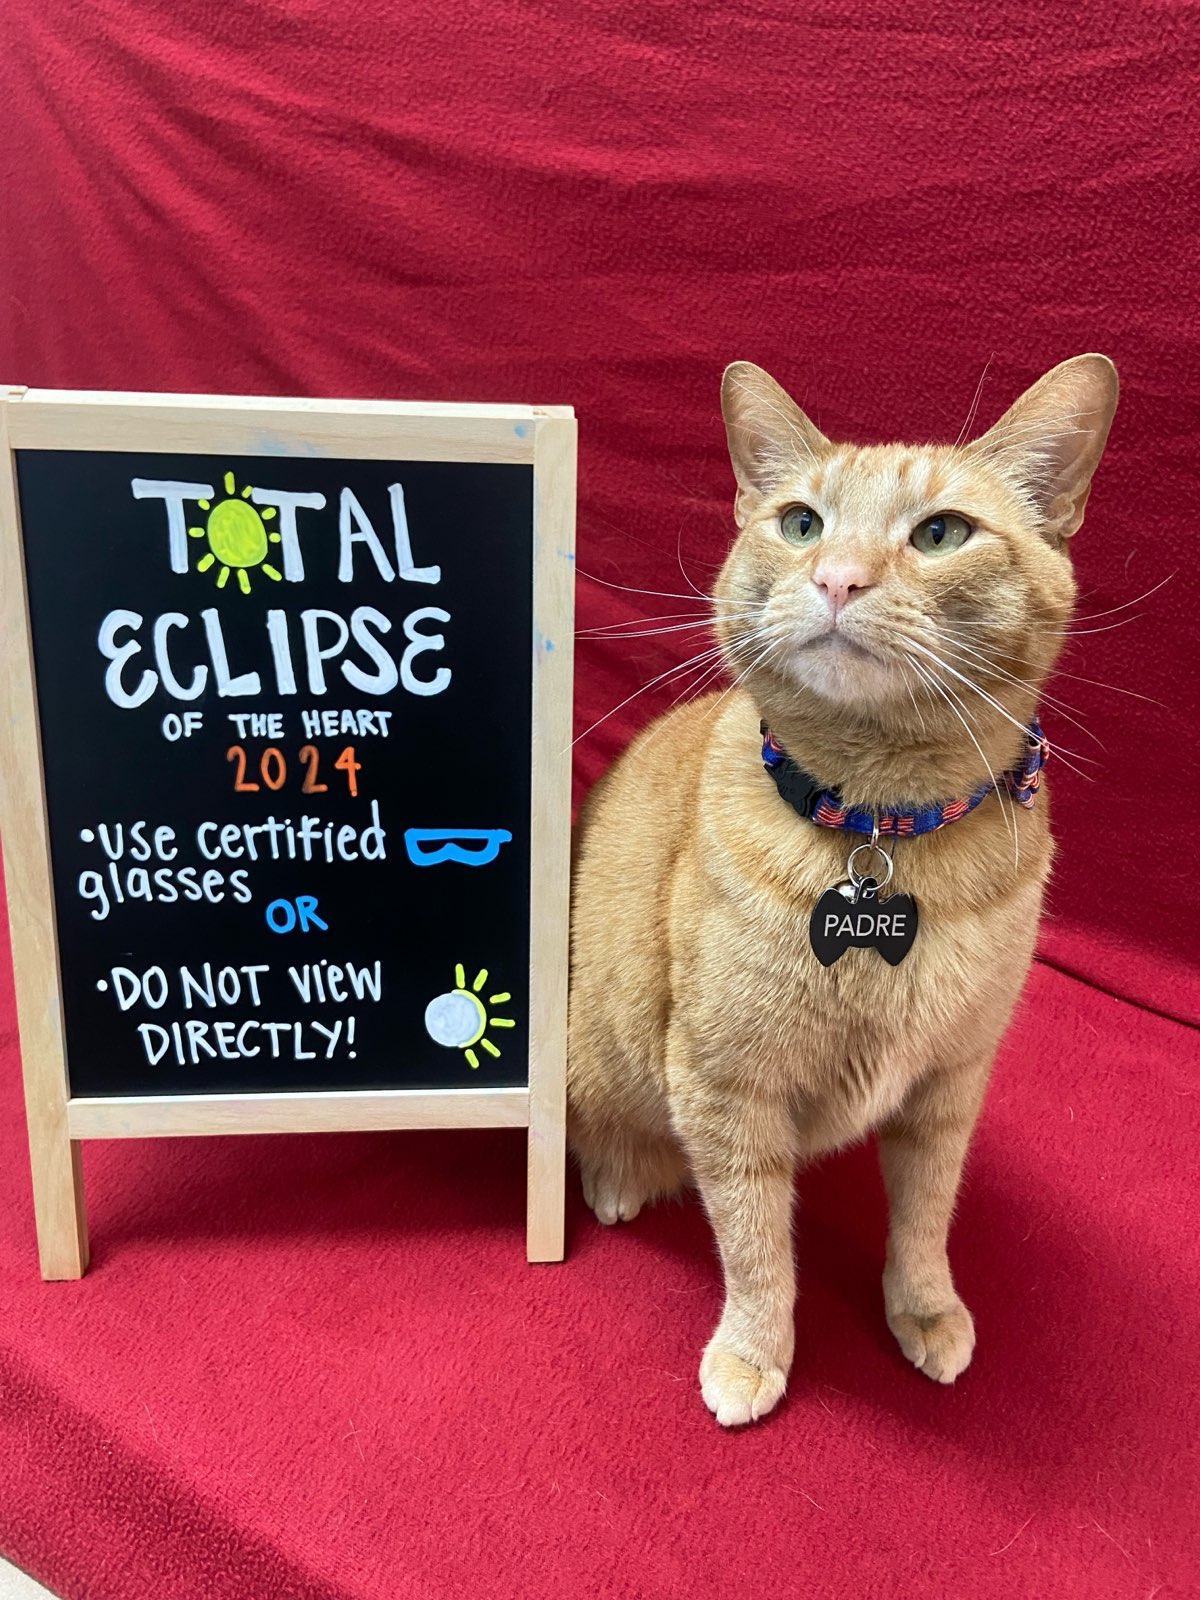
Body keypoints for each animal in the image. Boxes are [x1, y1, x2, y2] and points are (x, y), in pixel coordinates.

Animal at [569, 360, 1126, 1427]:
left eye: (940, 533)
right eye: (800, 524)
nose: (837, 579)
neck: (881, 831)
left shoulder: (949, 1085)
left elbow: (925, 1217)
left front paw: (924, 1307)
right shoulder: (725, 1089)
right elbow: (755, 1246)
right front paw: (756, 1352)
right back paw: (621, 1174)